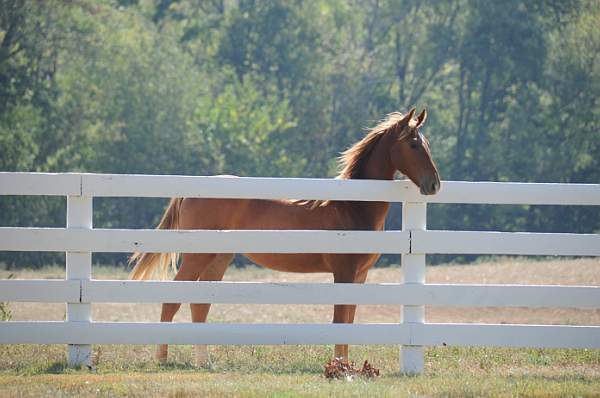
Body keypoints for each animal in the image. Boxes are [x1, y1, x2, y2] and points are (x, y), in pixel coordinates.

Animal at [130, 107, 440, 366]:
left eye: (427, 144)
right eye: (413, 144)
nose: (434, 185)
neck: (351, 205)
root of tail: (191, 191)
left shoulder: (359, 275)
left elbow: (349, 319)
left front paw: (347, 365)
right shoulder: (343, 272)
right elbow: (340, 319)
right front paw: (339, 367)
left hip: (217, 259)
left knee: (199, 305)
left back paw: (204, 362)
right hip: (197, 257)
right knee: (173, 300)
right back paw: (162, 359)